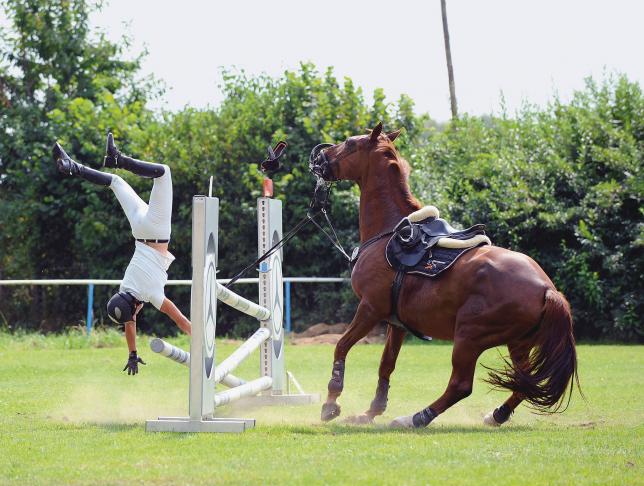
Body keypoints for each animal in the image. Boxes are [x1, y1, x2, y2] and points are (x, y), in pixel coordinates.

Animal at [310, 122, 580, 430]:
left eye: (350, 143)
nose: (320, 157)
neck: (388, 232)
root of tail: (547, 289)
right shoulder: (396, 324)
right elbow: (386, 365)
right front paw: (370, 413)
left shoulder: (369, 309)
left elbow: (341, 347)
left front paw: (331, 404)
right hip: (517, 343)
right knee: (523, 383)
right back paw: (496, 415)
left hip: (468, 337)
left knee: (461, 385)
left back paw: (415, 418)